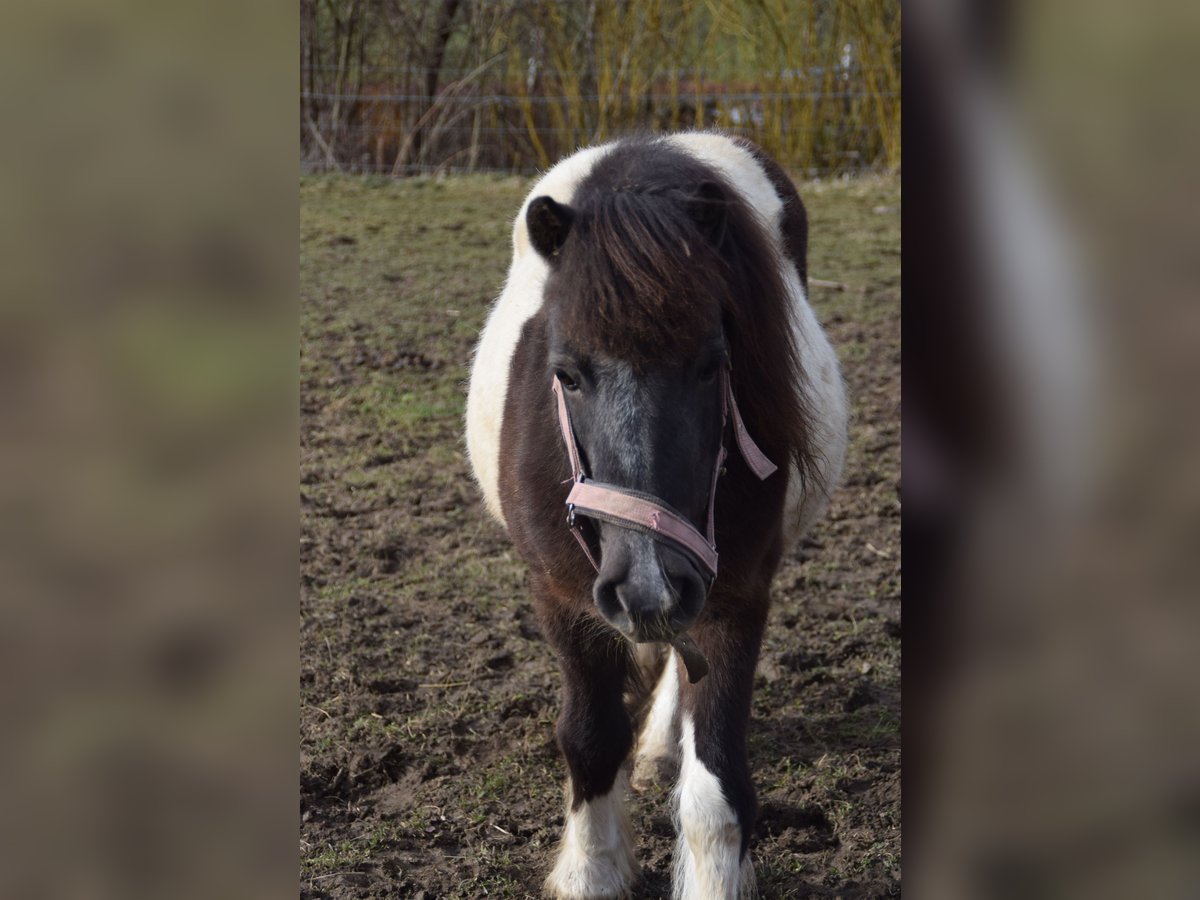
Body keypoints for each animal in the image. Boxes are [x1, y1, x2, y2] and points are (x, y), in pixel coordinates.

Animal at [463, 133, 849, 900]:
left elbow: (717, 787)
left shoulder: (736, 596)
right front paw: (592, 870)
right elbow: (589, 738)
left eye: (712, 364)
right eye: (566, 373)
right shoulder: (561, 596)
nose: (648, 585)